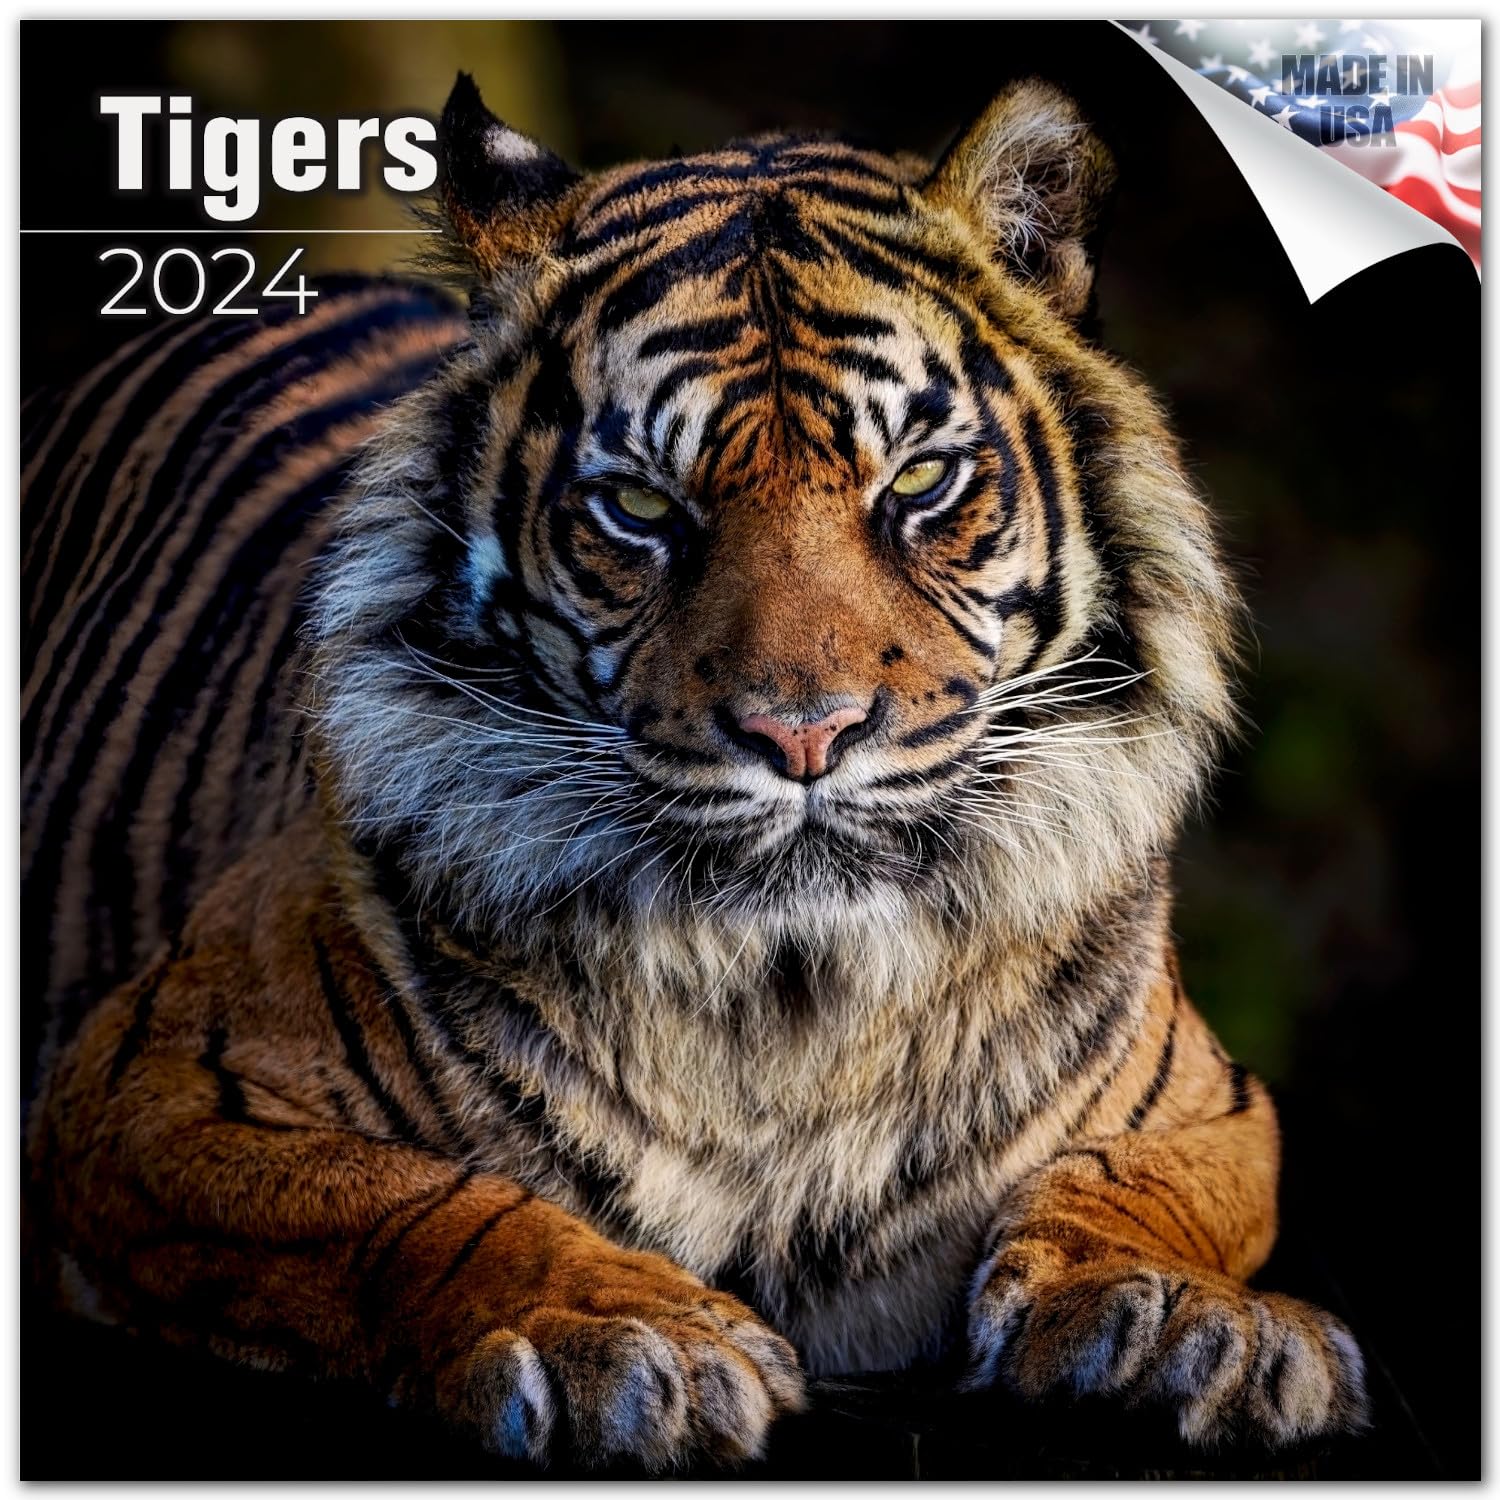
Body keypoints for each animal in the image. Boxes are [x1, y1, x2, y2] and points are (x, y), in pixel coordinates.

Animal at [23, 73, 1368, 1472]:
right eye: (641, 507)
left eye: (921, 480)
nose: (804, 734)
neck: (794, 1001)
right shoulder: (149, 1093)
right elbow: (415, 1199)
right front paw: (617, 1333)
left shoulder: (1205, 1106)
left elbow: (1133, 1187)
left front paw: (1190, 1321)